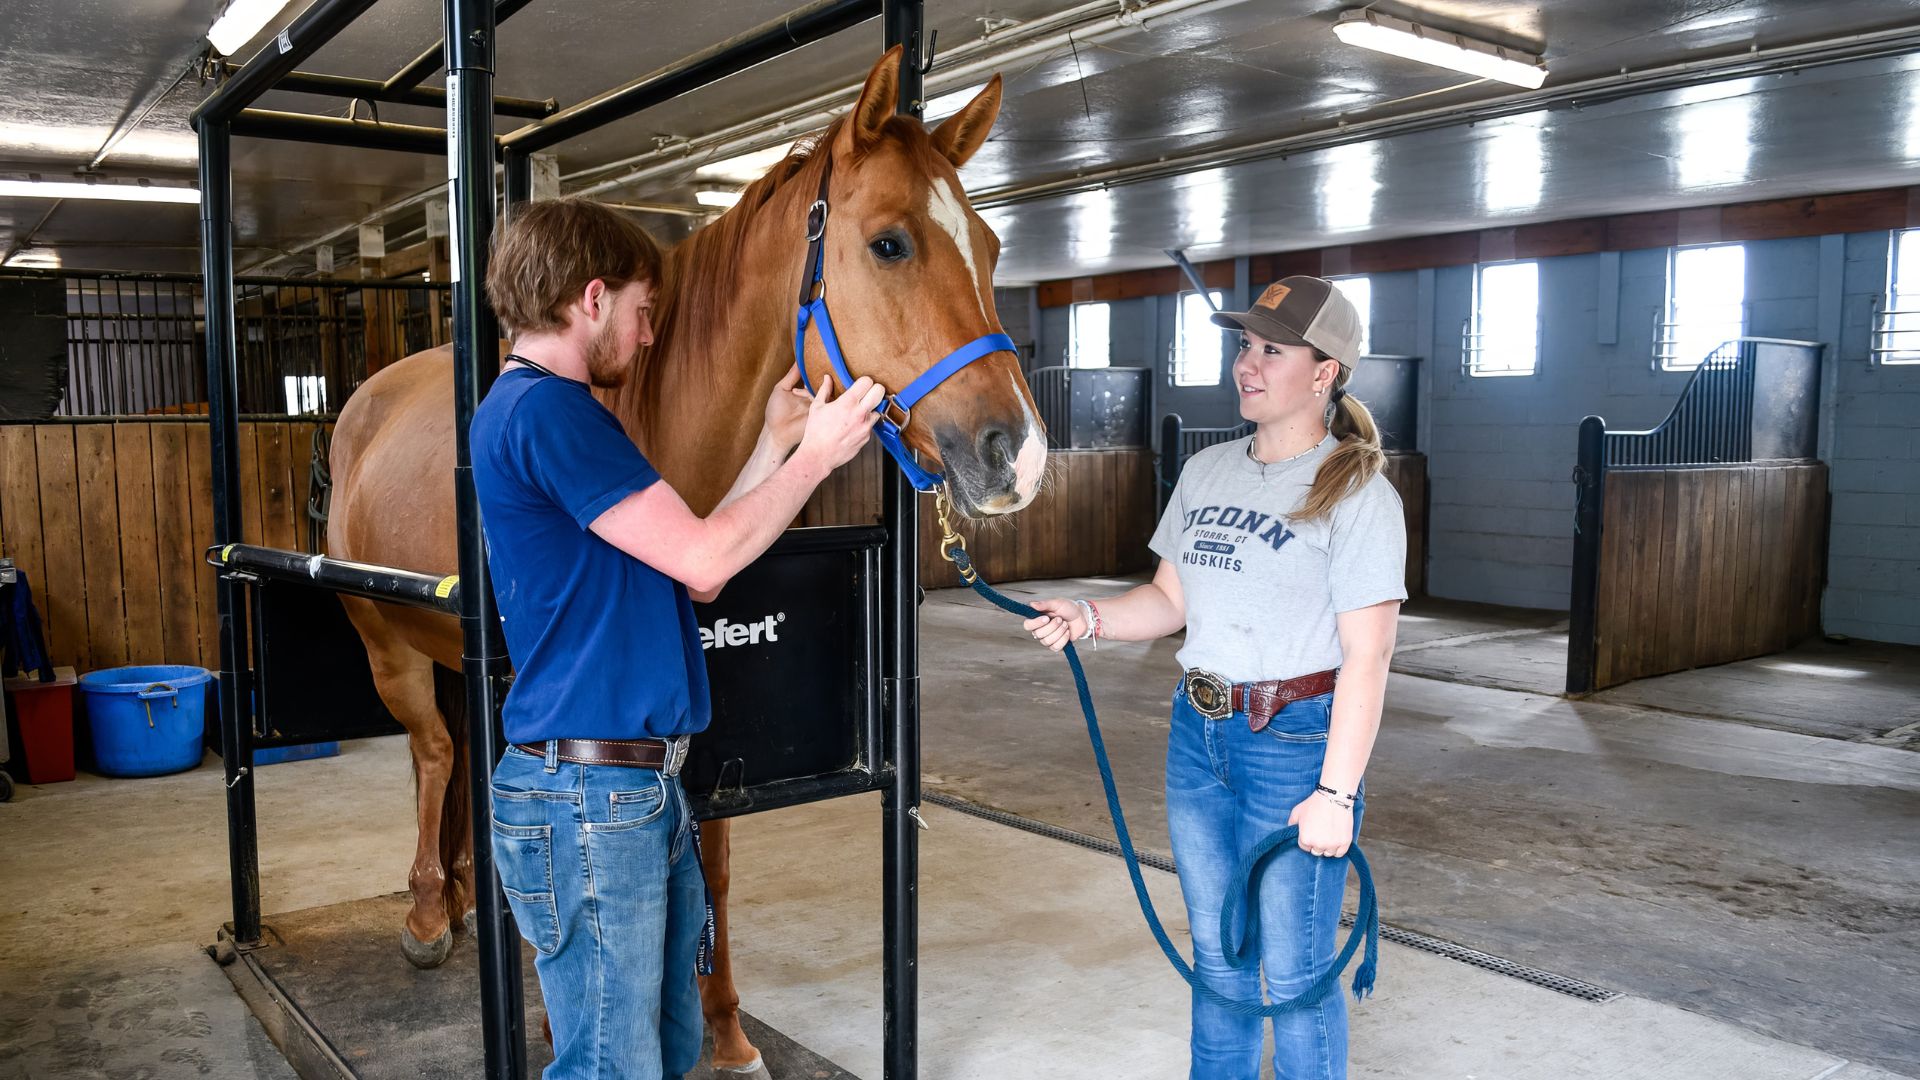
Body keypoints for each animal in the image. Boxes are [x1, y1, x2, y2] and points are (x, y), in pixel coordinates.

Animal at [325, 46, 1042, 1075]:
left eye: (989, 246)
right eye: (889, 245)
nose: (1018, 455)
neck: (655, 423)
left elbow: (717, 864)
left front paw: (728, 1029)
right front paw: (562, 1020)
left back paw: (456, 896)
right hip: (386, 643)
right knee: (431, 752)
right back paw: (428, 913)